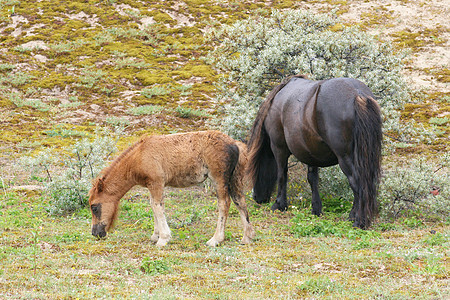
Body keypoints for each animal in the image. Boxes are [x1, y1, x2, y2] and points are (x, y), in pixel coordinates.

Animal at [88, 131, 253, 246]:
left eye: (94, 207)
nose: (95, 233)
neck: (140, 156)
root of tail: (235, 143)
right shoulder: (152, 185)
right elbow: (154, 206)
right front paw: (155, 236)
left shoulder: (157, 183)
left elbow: (157, 206)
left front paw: (163, 239)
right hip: (234, 179)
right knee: (240, 201)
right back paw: (247, 237)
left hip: (218, 179)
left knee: (224, 203)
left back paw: (216, 239)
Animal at [248, 75, 382, 227]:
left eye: (254, 167)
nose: (256, 197)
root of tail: (358, 94)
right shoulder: (310, 153)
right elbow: (312, 179)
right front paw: (316, 208)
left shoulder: (279, 148)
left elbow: (282, 175)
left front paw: (279, 204)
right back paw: (353, 217)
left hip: (345, 158)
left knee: (357, 183)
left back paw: (359, 221)